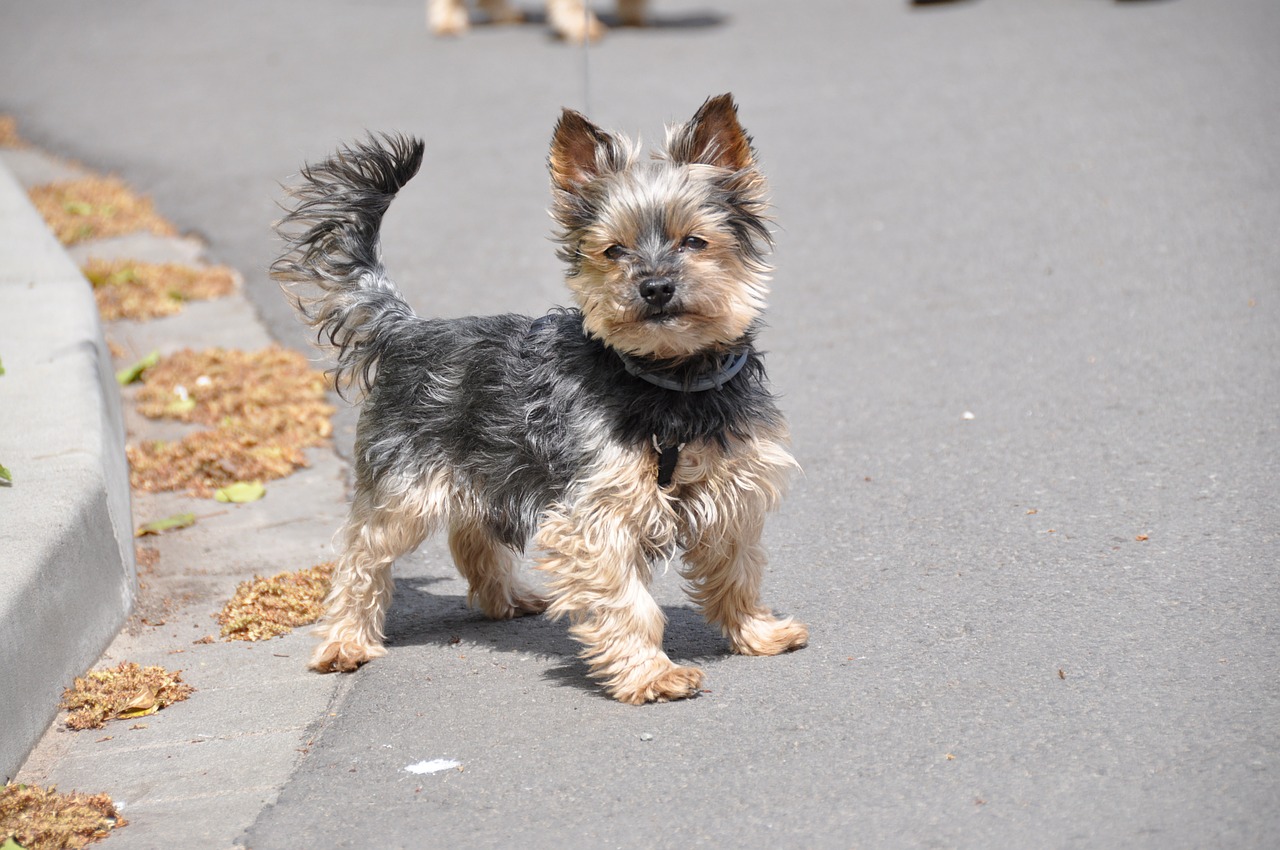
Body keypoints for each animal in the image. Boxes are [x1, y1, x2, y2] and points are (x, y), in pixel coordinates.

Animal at [272, 94, 808, 701]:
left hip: (485, 465)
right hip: (403, 488)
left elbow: (738, 569)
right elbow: (629, 601)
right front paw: (652, 673)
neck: (671, 379)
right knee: (362, 555)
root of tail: (404, 329)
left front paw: (758, 632)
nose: (653, 286)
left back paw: (505, 598)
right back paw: (345, 641)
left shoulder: (731, 492)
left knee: (471, 530)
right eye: (613, 250)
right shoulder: (595, 515)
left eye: (694, 241)